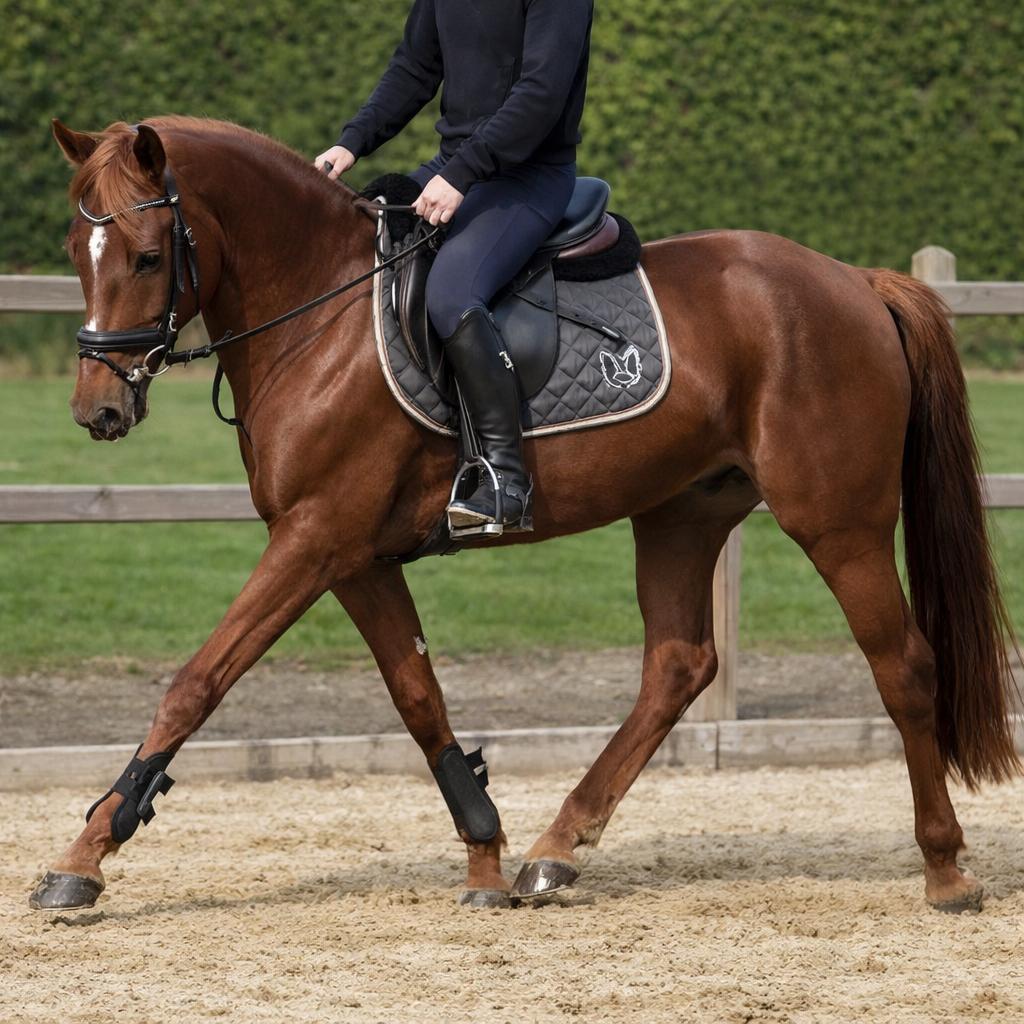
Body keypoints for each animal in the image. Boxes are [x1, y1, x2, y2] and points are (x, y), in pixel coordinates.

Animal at [31, 114, 1019, 914]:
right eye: (78, 252)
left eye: (148, 257)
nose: (96, 410)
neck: (323, 315)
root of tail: (854, 280)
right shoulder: (356, 557)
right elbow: (419, 697)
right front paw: (484, 854)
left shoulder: (314, 540)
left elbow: (196, 682)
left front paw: (86, 855)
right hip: (681, 514)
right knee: (677, 666)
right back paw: (556, 852)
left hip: (837, 522)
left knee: (905, 667)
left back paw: (946, 871)